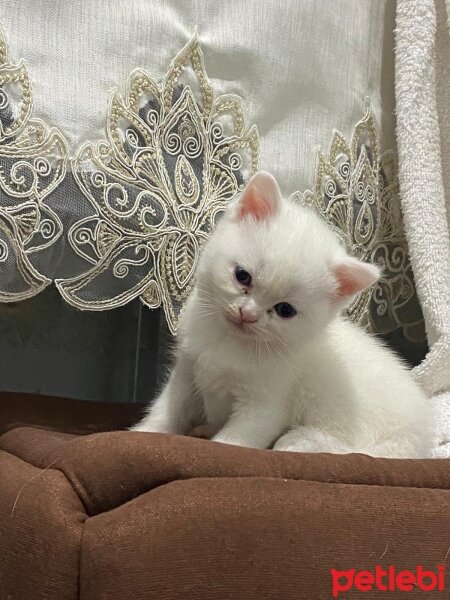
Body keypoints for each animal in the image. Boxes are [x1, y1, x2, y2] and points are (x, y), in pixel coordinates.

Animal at [133, 171, 432, 458]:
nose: (247, 314)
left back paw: (300, 440)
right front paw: (144, 432)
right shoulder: (186, 373)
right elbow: (168, 410)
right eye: (242, 276)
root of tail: (421, 437)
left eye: (285, 310)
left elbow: (233, 442)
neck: (228, 343)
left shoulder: (264, 405)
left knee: (344, 449)